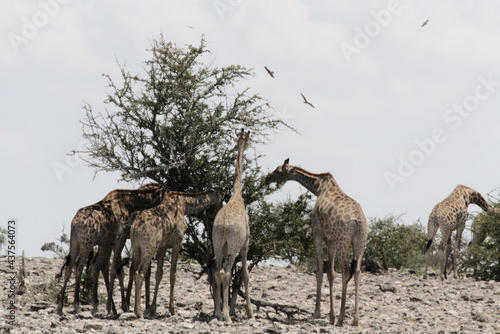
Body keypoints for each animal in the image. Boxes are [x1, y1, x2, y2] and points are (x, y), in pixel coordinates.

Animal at [56, 185, 166, 316]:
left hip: (75, 243)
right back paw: (77, 306)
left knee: (70, 267)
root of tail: (74, 223)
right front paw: (121, 306)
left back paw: (60, 307)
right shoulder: (120, 239)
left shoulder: (109, 242)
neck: (129, 204)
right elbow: (117, 270)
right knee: (79, 266)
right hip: (87, 243)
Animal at [131, 190, 221, 318]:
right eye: (221, 199)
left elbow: (159, 274)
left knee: (134, 272)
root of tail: (135, 228)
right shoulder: (177, 242)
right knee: (140, 273)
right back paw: (139, 312)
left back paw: (135, 309)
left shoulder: (162, 246)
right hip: (149, 248)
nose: (220, 208)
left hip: (136, 248)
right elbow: (173, 274)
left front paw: (153, 309)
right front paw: (173, 310)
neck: (185, 206)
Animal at [266, 159, 368, 326]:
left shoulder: (317, 233)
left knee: (346, 271)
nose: (267, 178)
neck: (319, 188)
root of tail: (358, 221)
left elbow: (319, 272)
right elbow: (331, 273)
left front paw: (317, 313)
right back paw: (355, 319)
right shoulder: (331, 240)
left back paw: (341, 318)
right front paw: (331, 315)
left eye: (279, 171)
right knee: (358, 271)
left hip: (343, 241)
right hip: (360, 242)